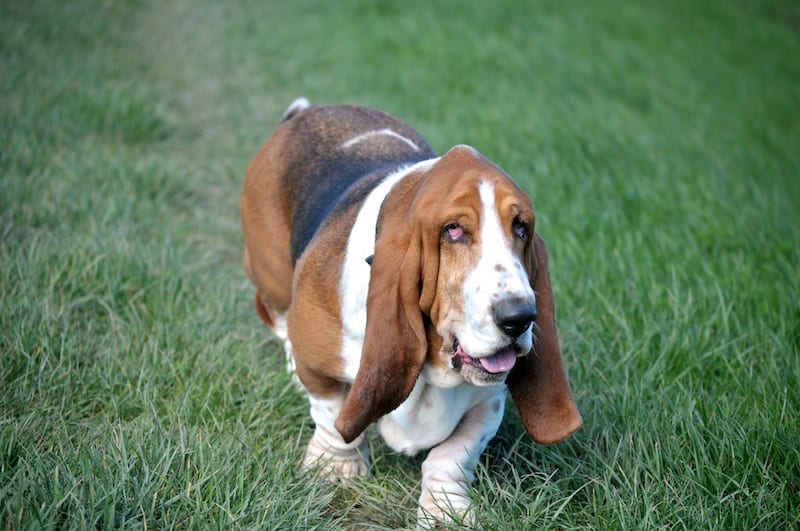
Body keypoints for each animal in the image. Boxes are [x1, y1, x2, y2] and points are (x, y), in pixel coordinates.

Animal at [238, 97, 580, 524]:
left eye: (521, 228)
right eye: (453, 230)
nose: (520, 318)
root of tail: (306, 111)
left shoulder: (489, 401)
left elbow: (452, 455)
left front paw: (444, 513)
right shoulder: (322, 368)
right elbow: (332, 415)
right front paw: (335, 469)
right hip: (272, 277)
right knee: (278, 321)